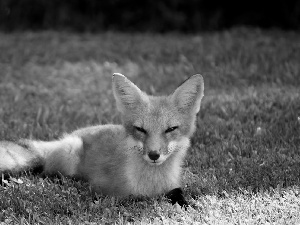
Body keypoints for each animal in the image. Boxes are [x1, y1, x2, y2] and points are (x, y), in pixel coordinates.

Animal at [0, 73, 204, 207]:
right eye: (140, 129)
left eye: (170, 129)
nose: (154, 155)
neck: (152, 182)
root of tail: (68, 136)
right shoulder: (106, 192)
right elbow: (134, 197)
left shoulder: (173, 185)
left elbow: (179, 195)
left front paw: (188, 205)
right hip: (71, 154)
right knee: (47, 172)